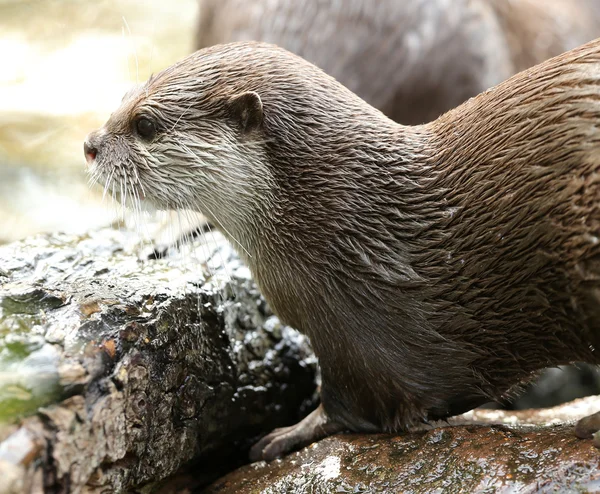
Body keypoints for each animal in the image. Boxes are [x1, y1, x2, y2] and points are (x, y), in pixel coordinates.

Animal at [84, 40, 600, 462]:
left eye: (144, 123)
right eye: (127, 96)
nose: (90, 145)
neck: (352, 232)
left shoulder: (356, 337)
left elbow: (351, 407)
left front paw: (284, 435)